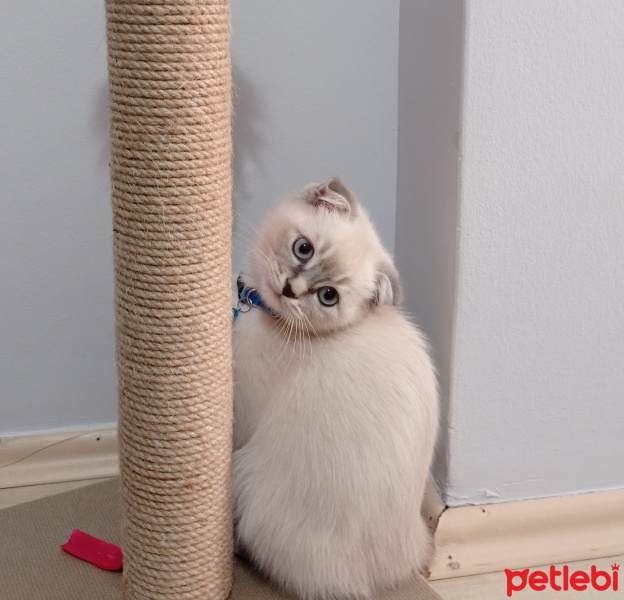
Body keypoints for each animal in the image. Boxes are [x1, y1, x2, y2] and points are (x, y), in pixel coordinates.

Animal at [233, 179, 438, 600]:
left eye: (328, 296)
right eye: (303, 248)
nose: (290, 289)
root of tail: (377, 580)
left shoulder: (241, 413)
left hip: (248, 478)